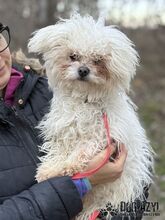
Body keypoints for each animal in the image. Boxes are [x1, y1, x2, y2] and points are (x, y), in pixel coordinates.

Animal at [28, 13, 153, 220]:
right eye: (73, 56)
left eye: (98, 60)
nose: (83, 70)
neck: (85, 99)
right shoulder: (65, 132)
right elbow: (59, 152)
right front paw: (50, 169)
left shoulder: (102, 135)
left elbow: (82, 150)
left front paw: (68, 166)